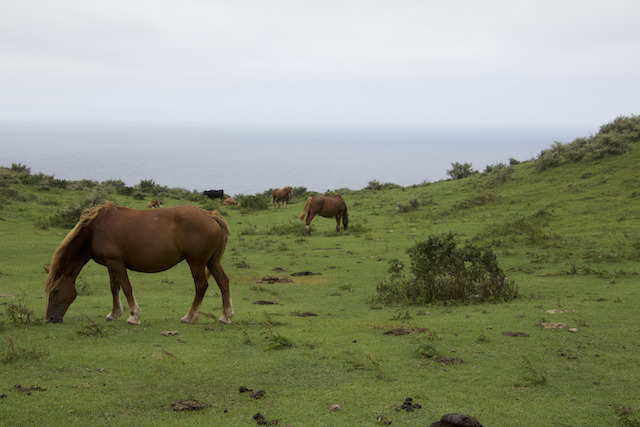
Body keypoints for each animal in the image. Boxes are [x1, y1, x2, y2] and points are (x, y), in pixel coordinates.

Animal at [44, 202, 234, 325]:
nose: (49, 319)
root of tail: (210, 214)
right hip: (211, 262)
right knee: (223, 282)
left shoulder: (116, 263)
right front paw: (114, 314)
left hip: (196, 262)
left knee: (201, 286)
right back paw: (225, 316)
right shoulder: (111, 264)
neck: (95, 229)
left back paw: (190, 316)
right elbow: (114, 288)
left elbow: (126, 288)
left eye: (55, 291)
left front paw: (134, 316)